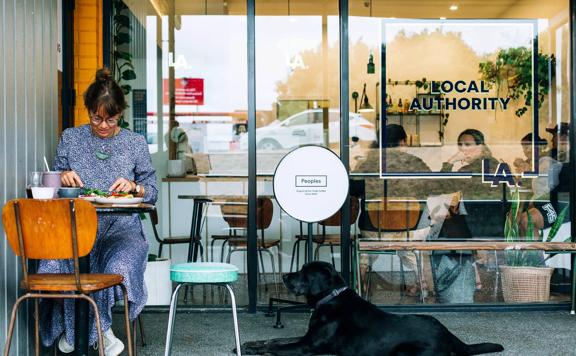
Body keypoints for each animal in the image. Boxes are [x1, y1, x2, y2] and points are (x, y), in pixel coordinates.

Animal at [241, 260, 502, 354]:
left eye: (305, 272)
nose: (284, 276)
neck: (330, 298)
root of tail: (448, 334)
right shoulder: (307, 337)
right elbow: (273, 340)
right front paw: (249, 344)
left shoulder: (308, 346)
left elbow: (277, 348)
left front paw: (253, 351)